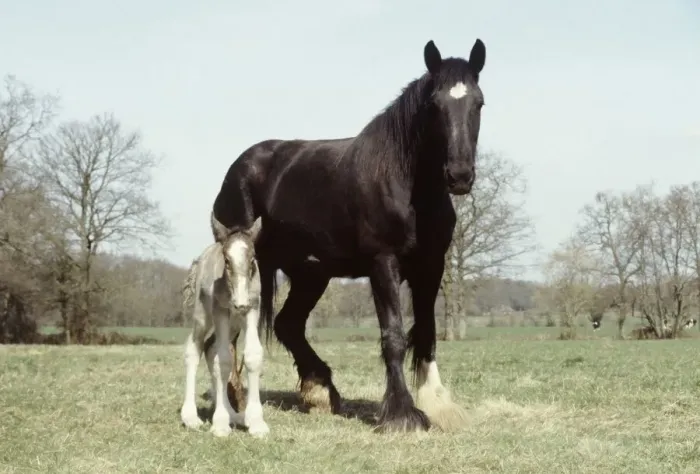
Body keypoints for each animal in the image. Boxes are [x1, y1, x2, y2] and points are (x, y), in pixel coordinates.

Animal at [179, 219, 269, 438]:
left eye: (252, 259)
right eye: (227, 260)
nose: (240, 304)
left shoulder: (252, 308)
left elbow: (252, 355)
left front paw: (256, 423)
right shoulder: (220, 311)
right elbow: (225, 360)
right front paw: (220, 424)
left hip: (234, 325)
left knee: (210, 349)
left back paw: (233, 414)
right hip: (203, 316)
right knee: (195, 349)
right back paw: (191, 417)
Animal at [209, 38, 487, 433]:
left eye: (478, 103)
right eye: (435, 105)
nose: (460, 175)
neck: (406, 183)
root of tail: (237, 169)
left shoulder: (431, 267)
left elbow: (427, 332)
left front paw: (437, 404)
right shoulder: (383, 263)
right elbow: (393, 336)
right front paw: (402, 414)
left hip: (311, 273)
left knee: (288, 324)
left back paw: (320, 391)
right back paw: (238, 401)